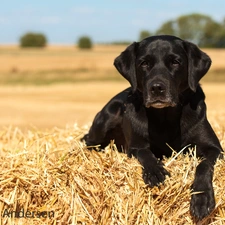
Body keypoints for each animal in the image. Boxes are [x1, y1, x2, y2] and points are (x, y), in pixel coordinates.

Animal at [81, 36, 222, 221]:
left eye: (175, 62)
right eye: (144, 63)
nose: (156, 88)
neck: (165, 117)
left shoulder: (215, 149)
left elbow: (204, 165)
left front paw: (202, 198)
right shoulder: (135, 147)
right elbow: (146, 154)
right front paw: (155, 171)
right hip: (109, 115)